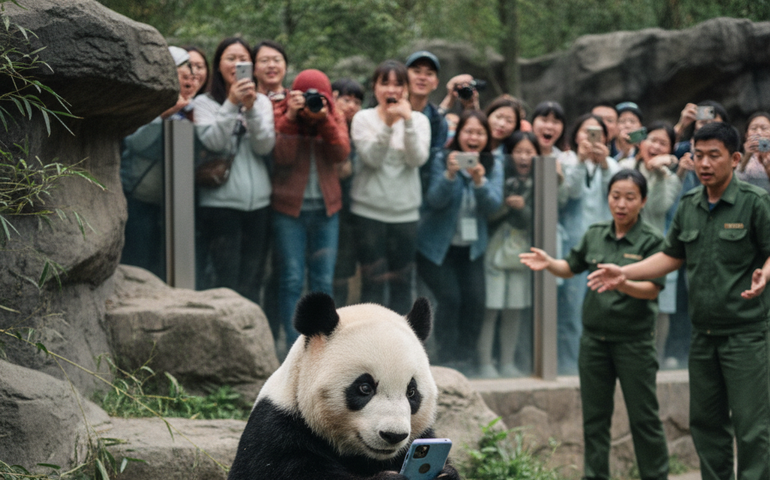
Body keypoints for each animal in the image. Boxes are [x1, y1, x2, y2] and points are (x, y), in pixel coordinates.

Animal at [227, 292, 461, 480]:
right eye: (365, 388)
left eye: (411, 392)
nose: (393, 435)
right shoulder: (275, 432)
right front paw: (388, 478)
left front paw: (445, 473)